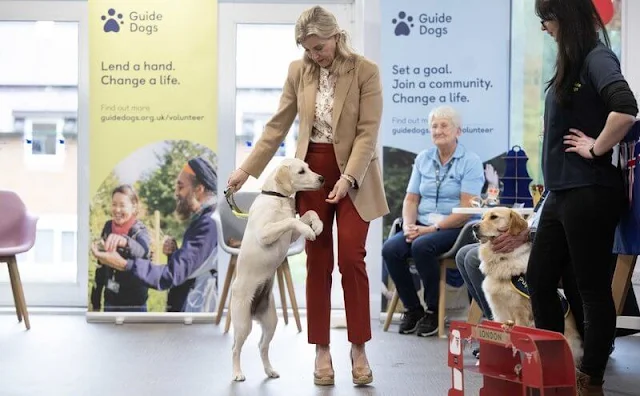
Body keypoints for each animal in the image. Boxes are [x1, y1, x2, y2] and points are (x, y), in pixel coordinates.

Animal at [230, 157, 324, 380]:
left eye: (308, 168)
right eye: (301, 171)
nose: (322, 179)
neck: (277, 198)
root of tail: (254, 312)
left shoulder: (290, 237)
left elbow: (309, 213)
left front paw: (317, 226)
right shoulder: (265, 233)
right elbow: (290, 220)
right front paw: (309, 230)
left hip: (271, 322)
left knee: (262, 346)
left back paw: (270, 370)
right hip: (242, 324)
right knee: (236, 348)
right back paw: (237, 373)